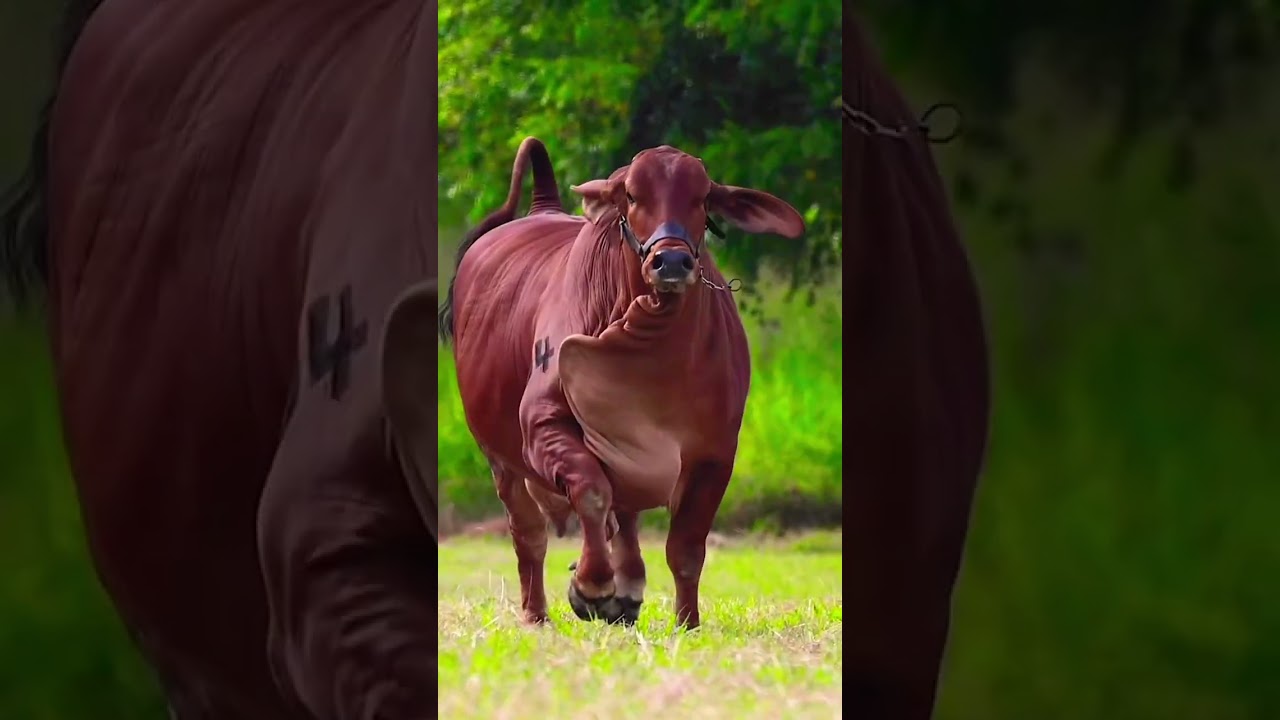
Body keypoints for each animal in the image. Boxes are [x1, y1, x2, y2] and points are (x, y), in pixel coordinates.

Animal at [438, 137, 805, 628]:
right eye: (631, 195)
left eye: (703, 198)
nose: (671, 261)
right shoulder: (541, 425)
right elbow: (592, 493)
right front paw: (590, 586)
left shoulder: (715, 451)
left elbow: (686, 547)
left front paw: (687, 622)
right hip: (500, 456)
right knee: (530, 533)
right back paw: (538, 613)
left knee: (623, 517)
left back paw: (627, 590)